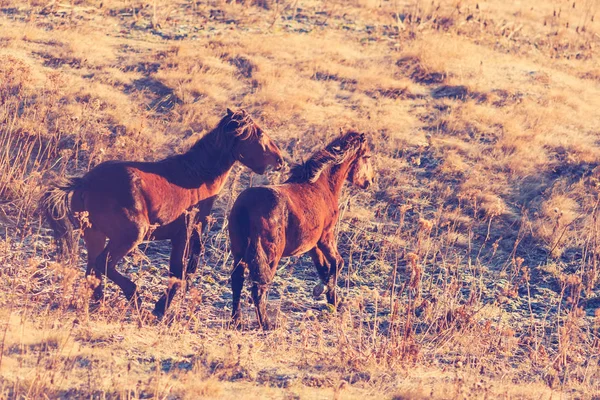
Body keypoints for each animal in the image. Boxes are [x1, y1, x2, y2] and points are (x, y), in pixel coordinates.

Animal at [41, 108, 284, 316]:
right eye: (259, 134)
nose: (280, 160)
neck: (195, 177)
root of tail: (85, 182)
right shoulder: (184, 234)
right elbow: (178, 272)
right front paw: (161, 308)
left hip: (95, 235)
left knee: (92, 271)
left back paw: (99, 305)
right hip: (131, 235)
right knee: (103, 264)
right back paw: (134, 298)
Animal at [227, 131, 372, 328]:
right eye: (367, 157)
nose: (369, 181)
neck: (320, 185)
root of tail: (245, 206)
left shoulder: (313, 246)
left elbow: (324, 268)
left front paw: (333, 302)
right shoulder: (326, 237)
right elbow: (337, 263)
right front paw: (323, 291)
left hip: (239, 253)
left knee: (237, 281)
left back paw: (237, 320)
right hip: (270, 256)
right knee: (259, 288)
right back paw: (267, 324)